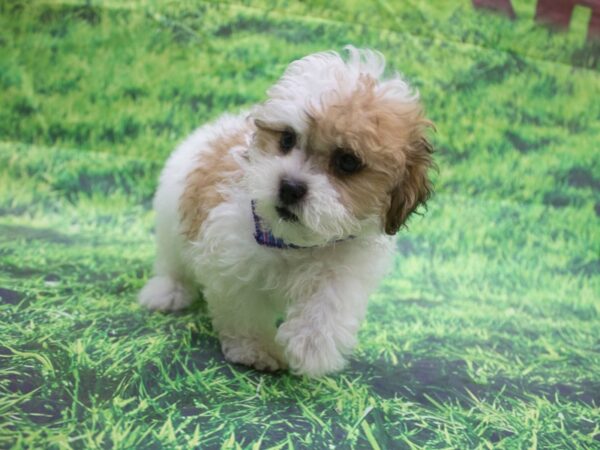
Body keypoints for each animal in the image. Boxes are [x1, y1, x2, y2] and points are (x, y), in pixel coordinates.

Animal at [139, 46, 434, 376]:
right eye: (287, 139)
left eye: (347, 162)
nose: (290, 187)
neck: (293, 241)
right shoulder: (231, 260)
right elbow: (243, 310)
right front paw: (255, 348)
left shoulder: (348, 264)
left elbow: (331, 298)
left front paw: (312, 345)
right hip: (172, 213)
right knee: (173, 261)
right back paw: (169, 291)